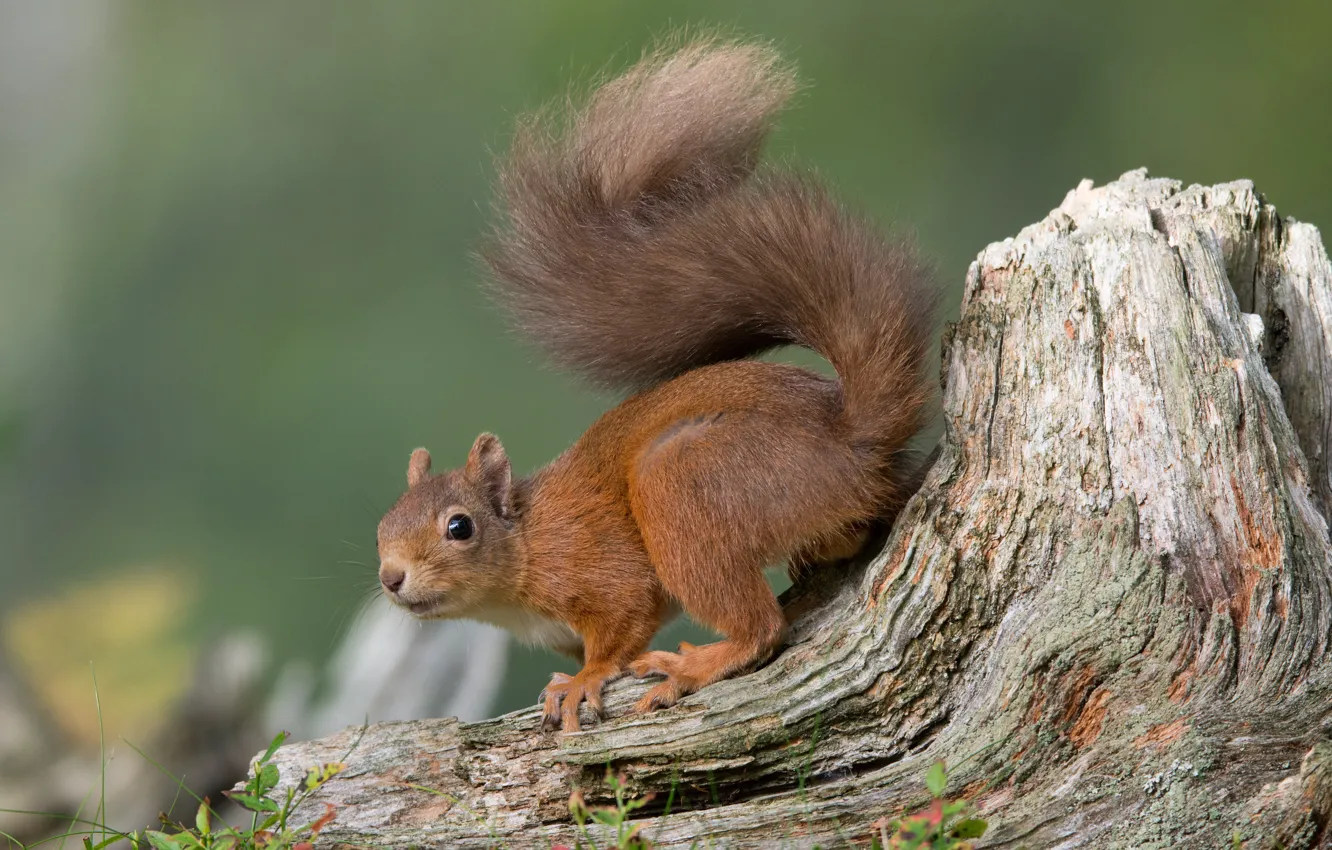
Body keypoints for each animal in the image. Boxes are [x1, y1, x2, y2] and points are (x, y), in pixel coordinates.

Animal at [375, 38, 937, 733]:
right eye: (382, 526)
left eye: (460, 527)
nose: (391, 577)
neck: (529, 543)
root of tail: (851, 440)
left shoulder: (603, 572)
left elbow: (619, 627)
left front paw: (581, 681)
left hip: (684, 482)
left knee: (760, 629)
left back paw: (693, 664)